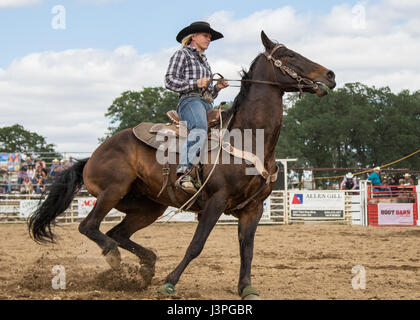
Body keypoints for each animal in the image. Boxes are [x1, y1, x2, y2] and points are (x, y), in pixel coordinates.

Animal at [27, 31, 336, 298]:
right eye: (289, 54)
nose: (330, 75)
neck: (249, 138)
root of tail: (91, 156)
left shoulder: (253, 208)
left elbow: (247, 250)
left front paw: (246, 288)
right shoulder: (215, 201)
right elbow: (196, 245)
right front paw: (170, 283)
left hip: (148, 206)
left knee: (117, 232)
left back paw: (146, 266)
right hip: (112, 190)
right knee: (90, 226)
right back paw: (116, 258)